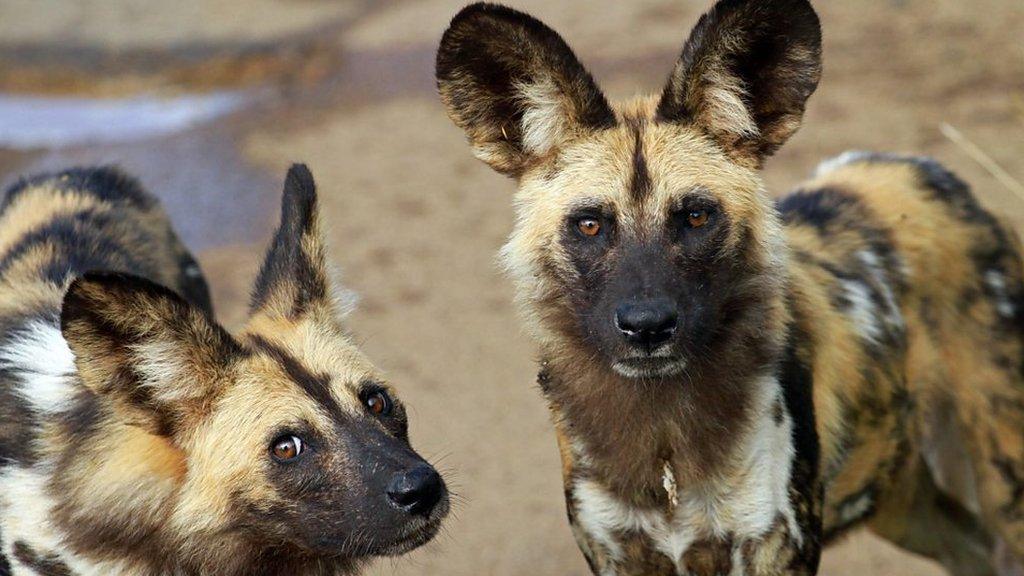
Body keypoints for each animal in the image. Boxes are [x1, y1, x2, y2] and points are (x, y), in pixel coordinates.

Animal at [436, 1, 1024, 573]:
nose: (647, 327)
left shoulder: (773, 547)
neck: (665, 441)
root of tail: (924, 169)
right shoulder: (617, 552)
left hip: (1004, 486)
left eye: (696, 216)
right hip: (905, 507)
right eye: (589, 225)